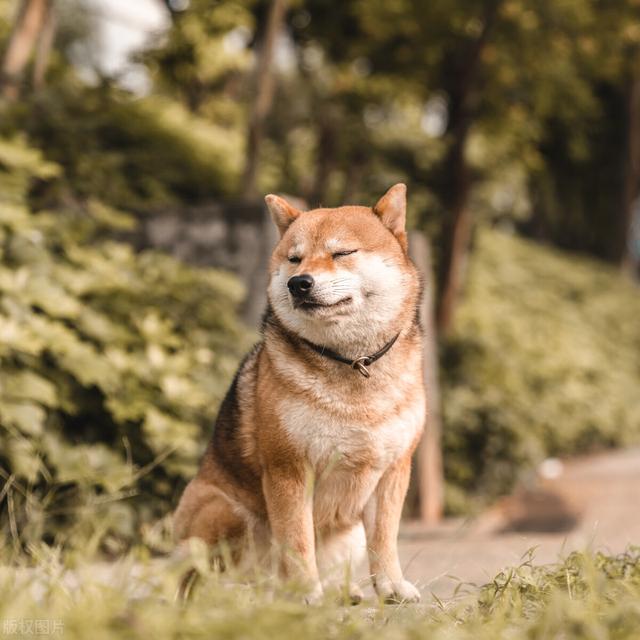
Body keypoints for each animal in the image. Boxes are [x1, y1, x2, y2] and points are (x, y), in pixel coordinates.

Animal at [172, 182, 428, 604]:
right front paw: (306, 592)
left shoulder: (393, 470)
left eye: (343, 253)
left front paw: (391, 586)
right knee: (202, 582)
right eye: (294, 259)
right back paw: (249, 594)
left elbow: (384, 541)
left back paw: (341, 592)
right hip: (227, 511)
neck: (352, 362)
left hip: (350, 535)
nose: (299, 282)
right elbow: (296, 540)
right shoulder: (288, 469)